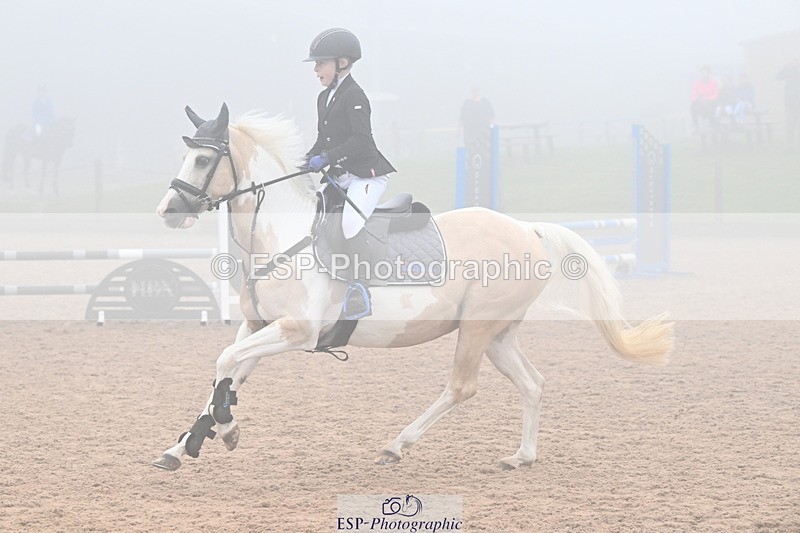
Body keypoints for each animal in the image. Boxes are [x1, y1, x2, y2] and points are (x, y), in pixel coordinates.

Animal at [152, 104, 673, 471]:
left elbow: (224, 363)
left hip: (477, 329)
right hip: (497, 334)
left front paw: (225, 430)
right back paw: (521, 456)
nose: (168, 211)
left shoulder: (296, 331)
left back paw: (396, 445)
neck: (280, 236)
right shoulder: (259, 325)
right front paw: (185, 445)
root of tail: (527, 229)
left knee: (461, 387)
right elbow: (227, 373)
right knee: (532, 382)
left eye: (203, 158)